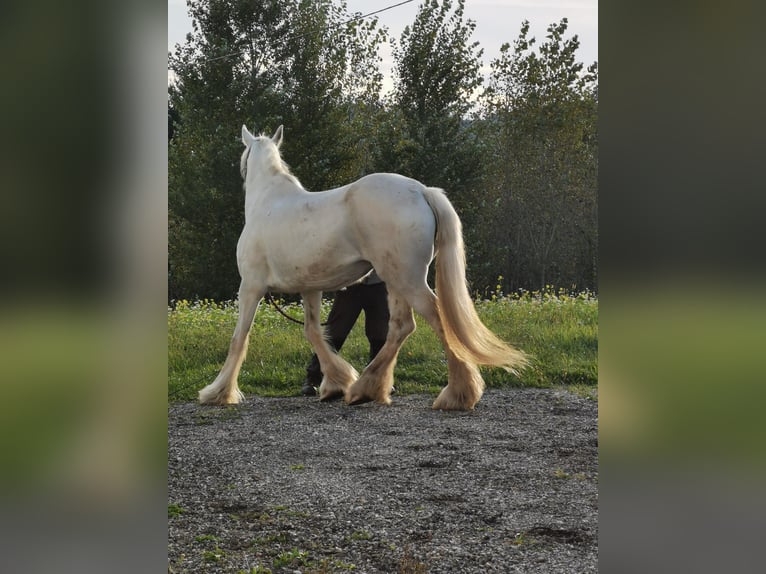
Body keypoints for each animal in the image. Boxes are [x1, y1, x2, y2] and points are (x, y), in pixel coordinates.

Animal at [198, 125, 527, 410]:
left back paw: (457, 395)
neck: (268, 202)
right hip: (395, 282)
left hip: (408, 280)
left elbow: (239, 338)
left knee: (436, 319)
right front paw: (336, 383)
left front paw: (218, 393)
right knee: (401, 327)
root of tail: (422, 190)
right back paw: (366, 389)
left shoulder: (250, 287)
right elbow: (315, 333)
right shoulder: (310, 289)